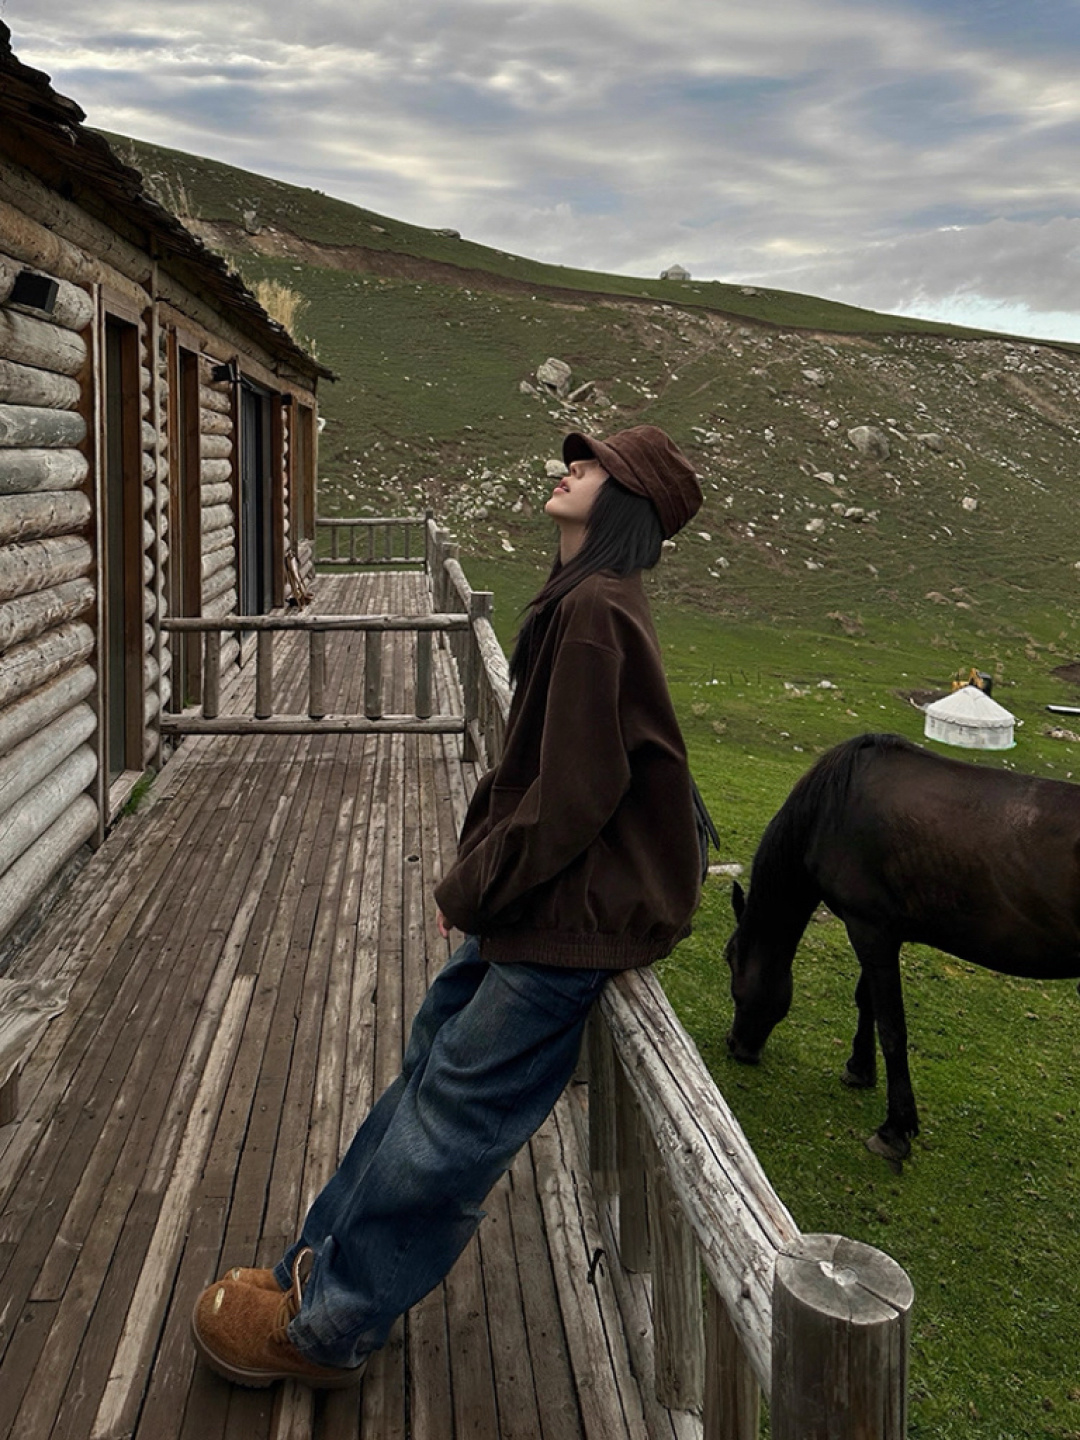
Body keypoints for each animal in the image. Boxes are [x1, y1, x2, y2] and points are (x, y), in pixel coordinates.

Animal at [724, 732, 1080, 1166]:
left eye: (730, 958)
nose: (736, 1045)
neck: (832, 807)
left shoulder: (870, 930)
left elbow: (891, 1026)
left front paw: (895, 1129)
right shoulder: (876, 929)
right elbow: (868, 1003)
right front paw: (859, 1070)